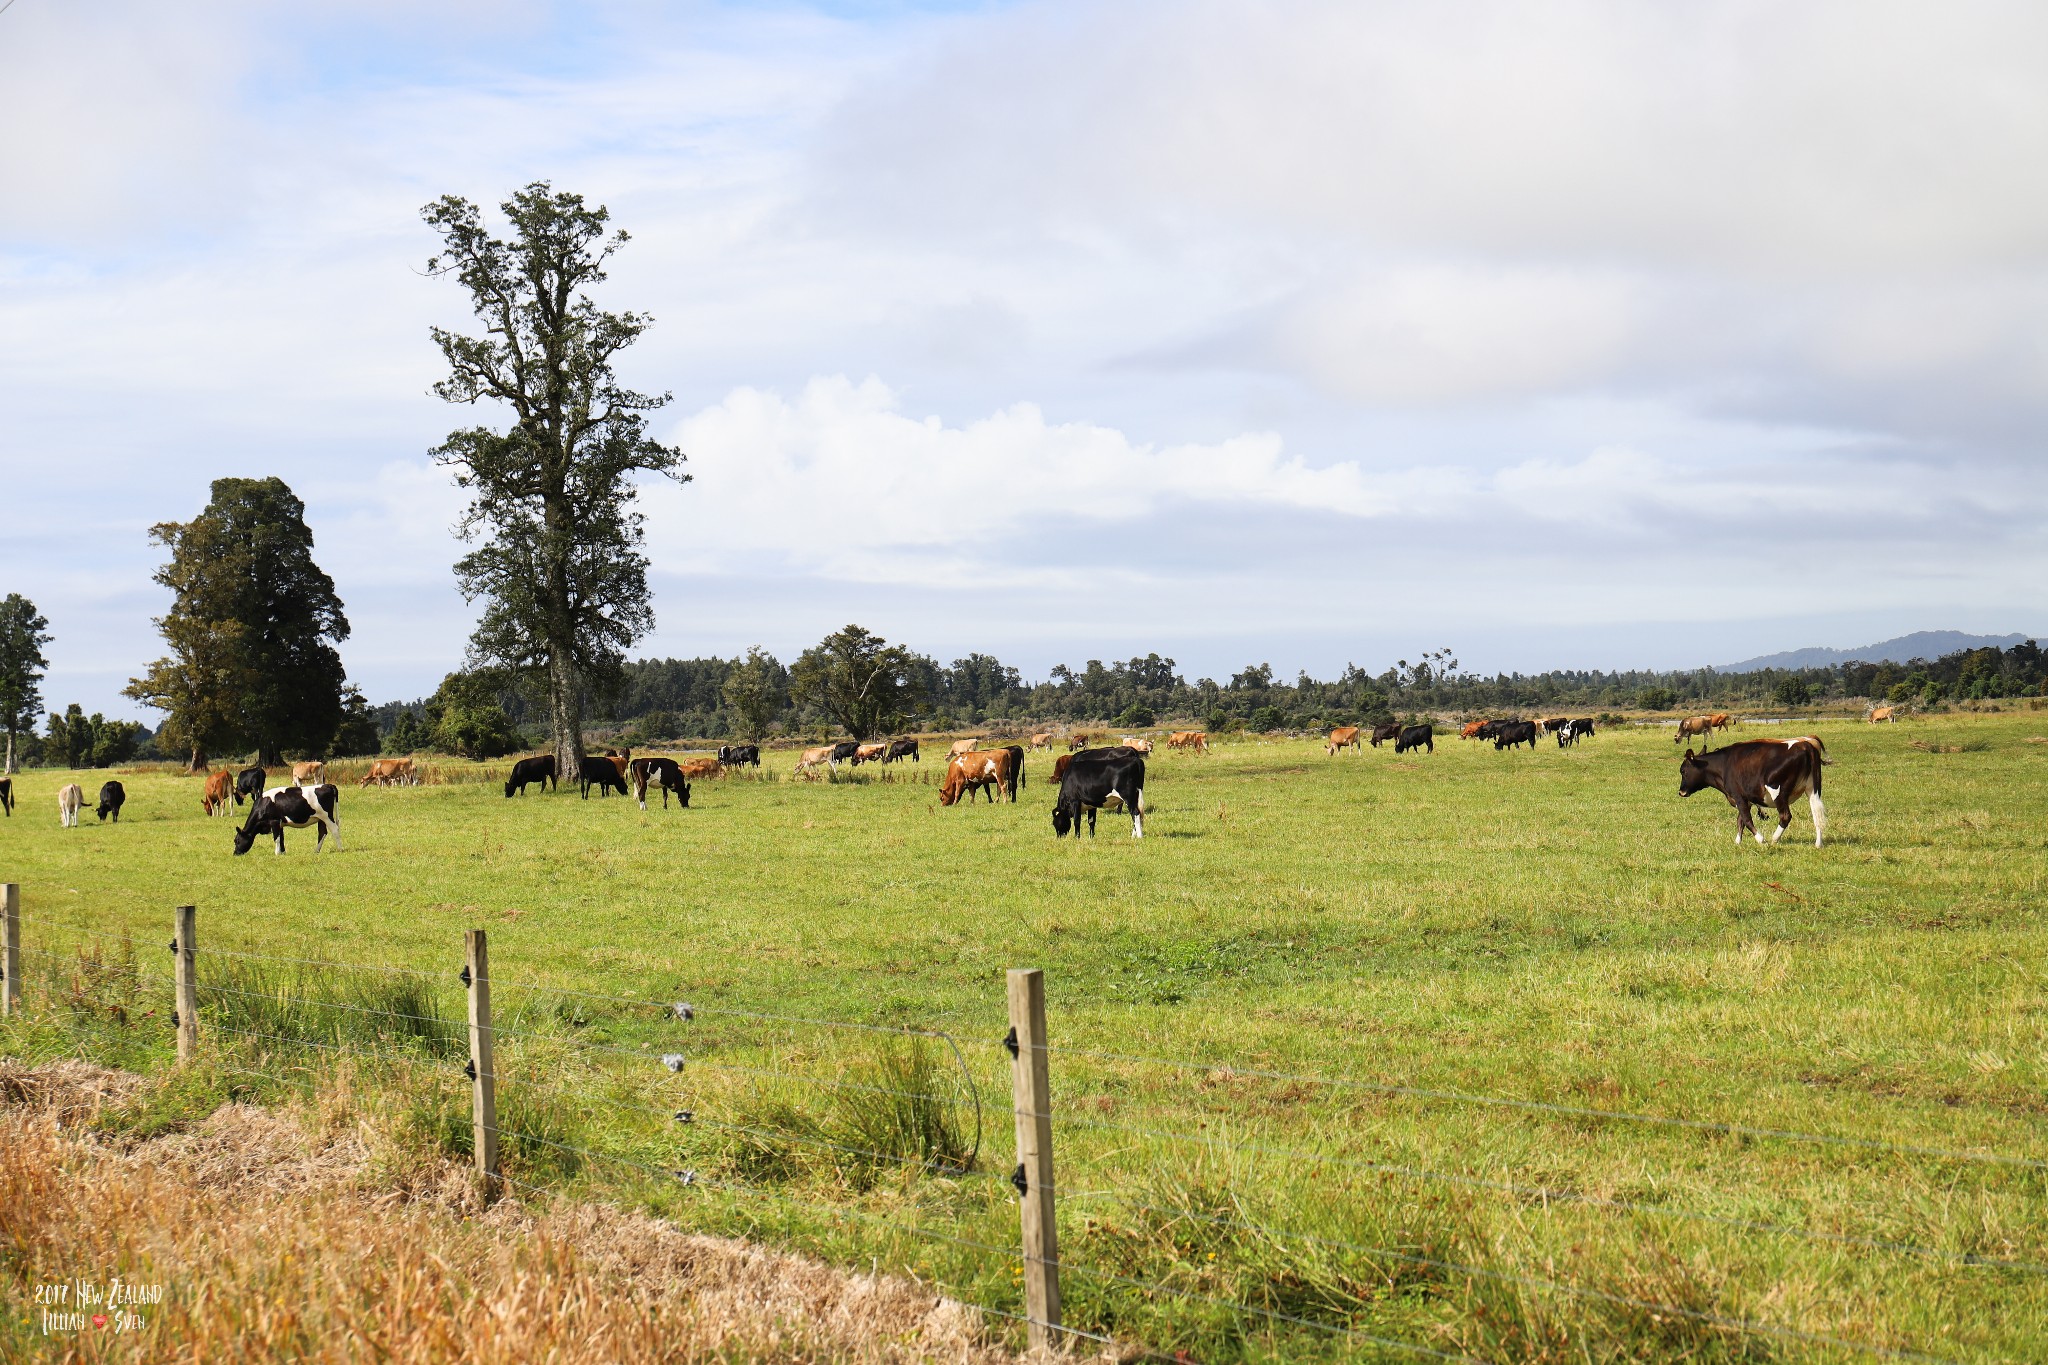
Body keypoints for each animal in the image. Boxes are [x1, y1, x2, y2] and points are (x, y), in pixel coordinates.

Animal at [1671, 740, 1835, 847]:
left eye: (1683, 771)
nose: (1681, 791)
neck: (1724, 765)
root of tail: (1805, 745)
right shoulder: (1746, 799)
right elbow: (1740, 821)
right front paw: (1737, 842)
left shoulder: (1738, 796)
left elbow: (1746, 820)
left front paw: (1760, 839)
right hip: (1813, 789)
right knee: (1817, 815)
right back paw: (1818, 843)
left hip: (1778, 791)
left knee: (1785, 816)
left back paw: (1774, 839)